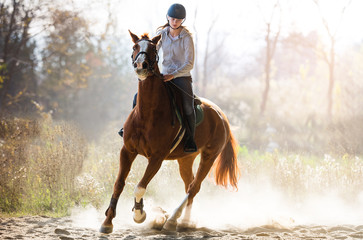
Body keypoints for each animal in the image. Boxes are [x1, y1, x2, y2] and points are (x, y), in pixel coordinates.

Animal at [100, 31, 242, 233]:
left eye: (153, 49)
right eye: (135, 47)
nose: (141, 65)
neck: (148, 112)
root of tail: (222, 116)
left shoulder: (157, 158)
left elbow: (140, 187)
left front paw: (139, 214)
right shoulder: (127, 151)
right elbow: (119, 183)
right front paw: (107, 222)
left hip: (209, 156)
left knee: (194, 187)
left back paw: (173, 220)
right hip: (186, 159)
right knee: (189, 185)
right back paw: (185, 221)